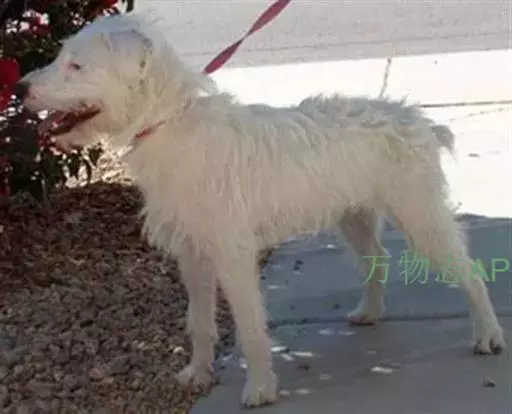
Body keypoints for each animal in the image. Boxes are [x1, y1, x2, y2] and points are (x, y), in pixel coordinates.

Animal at [18, 11, 505, 408]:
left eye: (76, 66)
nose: (20, 88)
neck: (169, 124)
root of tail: (420, 121)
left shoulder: (231, 256)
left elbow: (251, 327)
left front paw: (260, 389)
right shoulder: (193, 254)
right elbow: (199, 320)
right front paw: (197, 374)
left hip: (421, 216)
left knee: (469, 271)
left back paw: (488, 334)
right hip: (355, 217)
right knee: (377, 259)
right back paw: (370, 312)